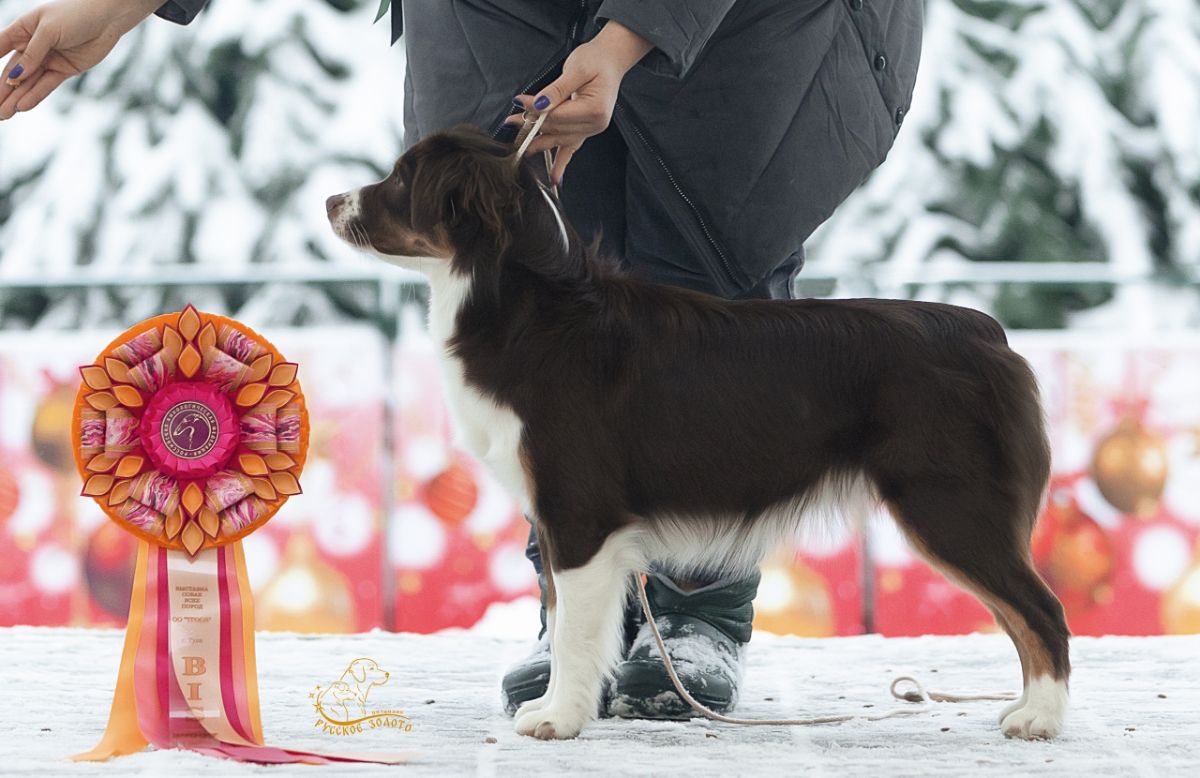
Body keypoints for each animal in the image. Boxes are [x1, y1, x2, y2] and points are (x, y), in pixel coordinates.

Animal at [326, 126, 1070, 739]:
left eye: (401, 179)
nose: (332, 201)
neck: (529, 306)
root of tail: (990, 333)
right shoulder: (571, 522)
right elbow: (567, 621)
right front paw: (557, 706)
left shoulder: (579, 513)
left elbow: (574, 632)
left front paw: (558, 719)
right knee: (1020, 615)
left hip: (951, 504)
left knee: (1042, 611)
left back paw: (1040, 718)